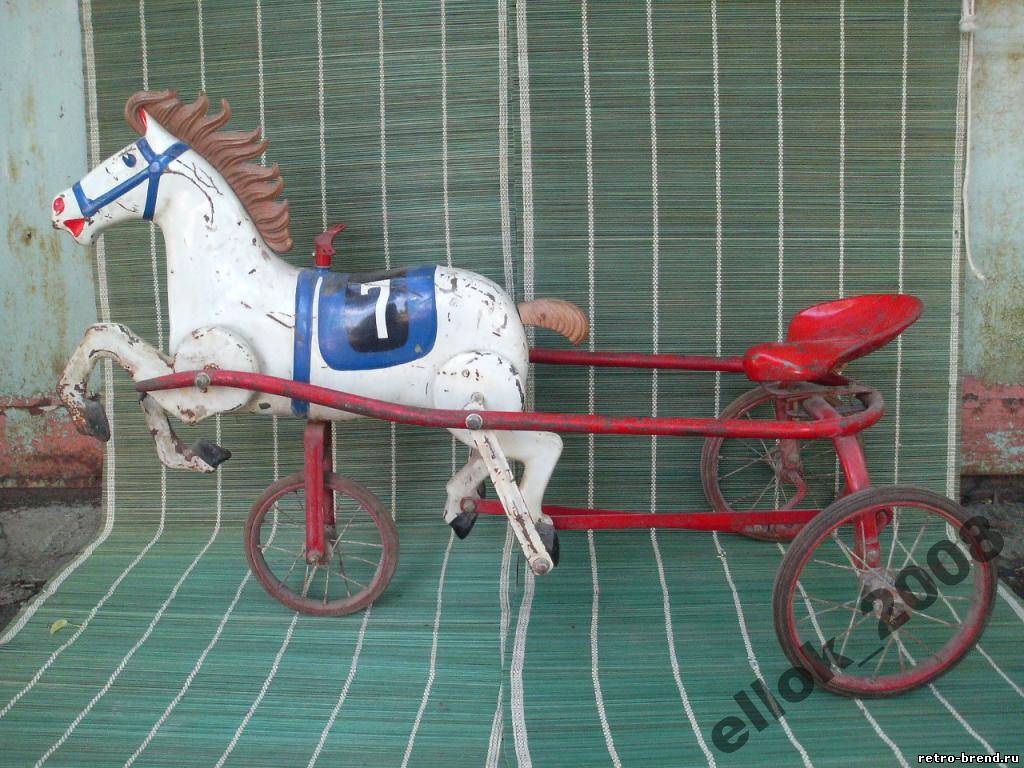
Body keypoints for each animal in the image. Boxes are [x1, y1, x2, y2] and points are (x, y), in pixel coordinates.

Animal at [51, 89, 587, 551]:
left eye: (128, 159)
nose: (60, 204)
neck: (229, 277)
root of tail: (514, 311)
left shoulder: (211, 384)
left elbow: (118, 347)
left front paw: (88, 413)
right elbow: (127, 366)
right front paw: (191, 452)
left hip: (467, 396)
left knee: (544, 445)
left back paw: (540, 531)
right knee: (488, 455)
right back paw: (461, 507)